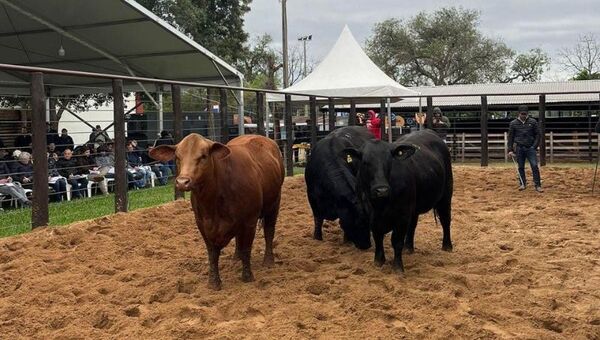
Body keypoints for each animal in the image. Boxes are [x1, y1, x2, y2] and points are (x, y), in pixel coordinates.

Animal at [149, 133, 282, 290]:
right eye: (177, 156)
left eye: (203, 156)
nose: (182, 182)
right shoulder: (202, 223)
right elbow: (212, 253)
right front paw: (213, 282)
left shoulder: (250, 221)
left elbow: (247, 249)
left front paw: (247, 276)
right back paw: (236, 258)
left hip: (274, 204)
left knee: (269, 231)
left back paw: (268, 261)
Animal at [344, 129, 452, 272]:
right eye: (365, 162)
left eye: (389, 160)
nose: (382, 190)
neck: (380, 205)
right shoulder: (370, 214)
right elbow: (377, 236)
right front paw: (378, 261)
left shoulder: (402, 216)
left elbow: (397, 241)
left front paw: (398, 266)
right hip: (414, 206)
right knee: (413, 225)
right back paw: (409, 247)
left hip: (446, 194)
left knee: (445, 219)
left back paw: (447, 246)